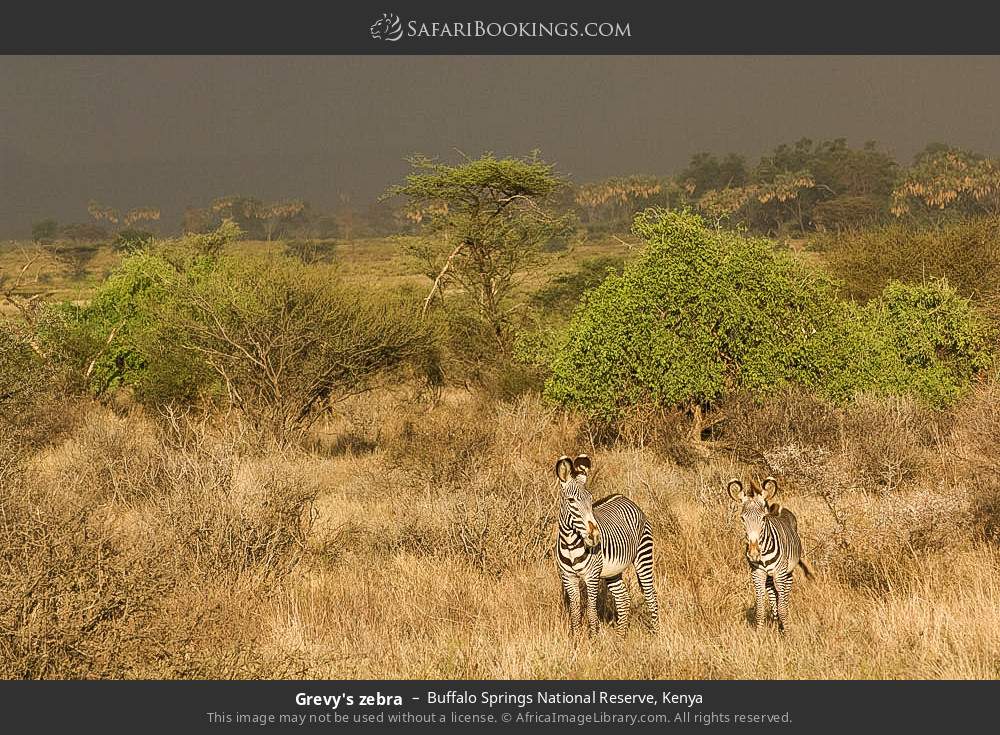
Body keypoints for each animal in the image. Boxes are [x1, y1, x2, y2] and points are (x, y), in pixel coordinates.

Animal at [555, 454, 659, 637]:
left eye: (591, 500)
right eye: (571, 500)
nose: (595, 536)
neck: (570, 543)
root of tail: (624, 497)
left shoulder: (592, 576)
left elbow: (591, 611)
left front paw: (593, 641)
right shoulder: (568, 577)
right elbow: (575, 613)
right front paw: (576, 641)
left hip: (644, 556)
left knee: (650, 594)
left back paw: (655, 635)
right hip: (613, 571)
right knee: (623, 599)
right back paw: (619, 638)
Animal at [727, 476, 814, 632]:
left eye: (763, 518)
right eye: (742, 519)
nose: (753, 554)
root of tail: (779, 507)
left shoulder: (780, 573)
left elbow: (783, 608)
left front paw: (787, 633)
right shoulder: (757, 574)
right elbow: (760, 608)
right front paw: (759, 633)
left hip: (787, 573)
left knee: (784, 598)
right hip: (769, 577)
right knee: (774, 595)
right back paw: (776, 620)